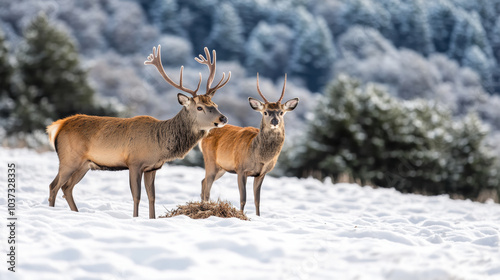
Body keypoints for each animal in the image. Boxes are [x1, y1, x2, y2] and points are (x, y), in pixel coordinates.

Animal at [46, 44, 230, 219]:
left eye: (215, 105)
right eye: (199, 107)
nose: (223, 118)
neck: (159, 144)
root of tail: (58, 126)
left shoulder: (152, 168)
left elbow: (152, 197)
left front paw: (152, 219)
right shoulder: (134, 162)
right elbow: (137, 196)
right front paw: (135, 218)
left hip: (84, 164)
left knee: (67, 188)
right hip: (69, 158)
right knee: (54, 185)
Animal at [199, 73, 298, 215]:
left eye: (281, 112)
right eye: (265, 112)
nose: (275, 121)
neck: (259, 157)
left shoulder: (261, 174)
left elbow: (257, 200)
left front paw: (258, 216)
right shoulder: (241, 169)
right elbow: (243, 198)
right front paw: (241, 215)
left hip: (221, 167)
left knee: (203, 181)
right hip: (210, 160)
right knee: (207, 185)